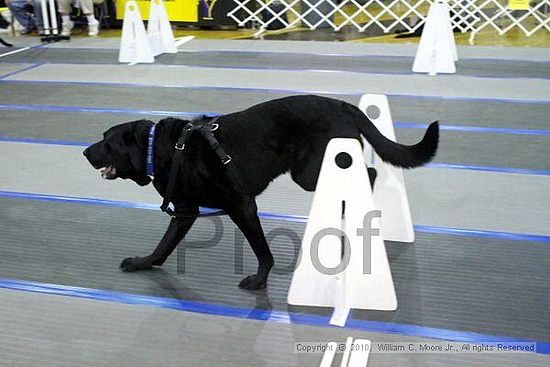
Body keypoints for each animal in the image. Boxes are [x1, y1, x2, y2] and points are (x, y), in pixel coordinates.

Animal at [85, 95, 440, 290]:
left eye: (106, 141)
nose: (85, 152)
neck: (161, 149)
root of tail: (343, 105)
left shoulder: (241, 205)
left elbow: (262, 250)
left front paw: (259, 280)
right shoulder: (186, 211)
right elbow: (163, 246)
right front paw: (143, 262)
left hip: (312, 170)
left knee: (369, 172)